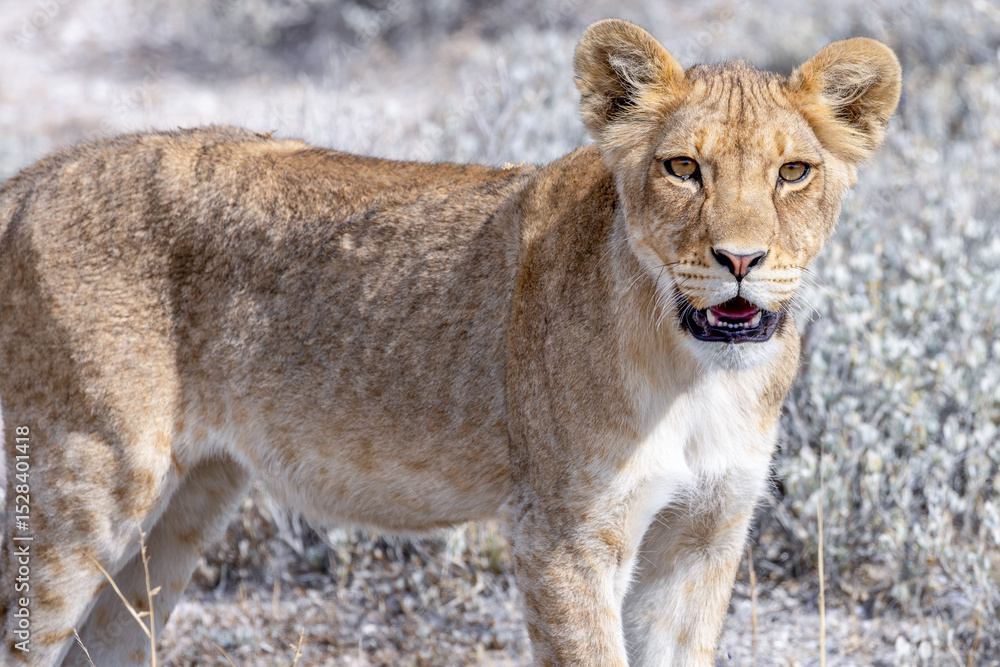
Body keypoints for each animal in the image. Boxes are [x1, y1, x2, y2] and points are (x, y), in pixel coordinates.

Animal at [0, 18, 900, 666]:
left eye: (793, 172)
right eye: (683, 167)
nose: (740, 260)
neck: (701, 374)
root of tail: (37, 175)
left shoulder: (705, 534)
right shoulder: (563, 535)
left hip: (183, 510)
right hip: (89, 480)